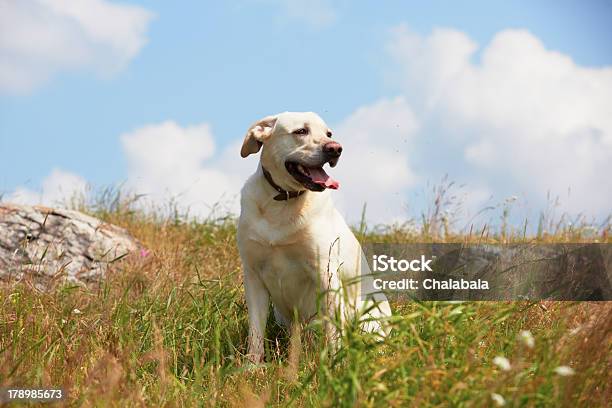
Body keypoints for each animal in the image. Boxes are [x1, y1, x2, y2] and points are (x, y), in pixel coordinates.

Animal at [237, 111, 390, 364]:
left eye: (329, 133)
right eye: (301, 131)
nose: (336, 149)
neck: (283, 203)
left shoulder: (325, 273)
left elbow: (333, 332)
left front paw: (335, 363)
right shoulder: (253, 275)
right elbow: (255, 332)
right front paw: (252, 366)